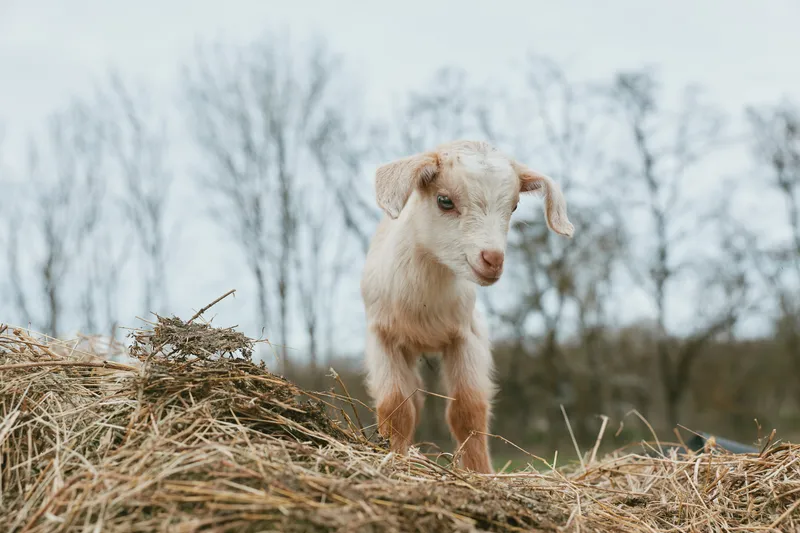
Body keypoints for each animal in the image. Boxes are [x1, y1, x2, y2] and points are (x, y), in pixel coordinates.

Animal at [360, 140, 574, 473]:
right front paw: (395, 458)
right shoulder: (381, 335)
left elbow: (468, 411)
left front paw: (479, 472)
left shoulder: (466, 335)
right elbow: (396, 408)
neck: (424, 302)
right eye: (444, 200)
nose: (493, 259)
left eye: (514, 206)